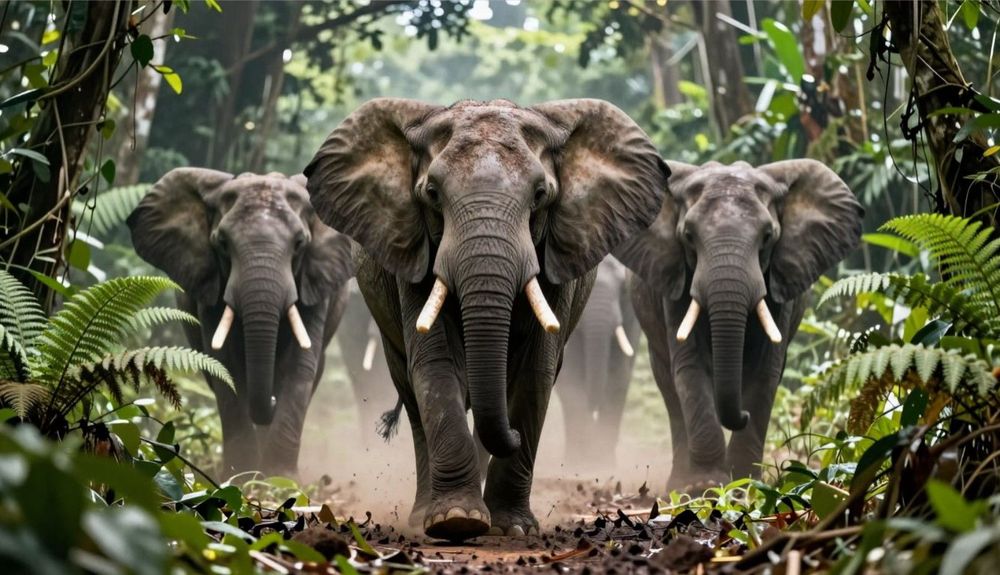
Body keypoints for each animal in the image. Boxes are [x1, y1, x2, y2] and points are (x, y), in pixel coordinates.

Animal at [127, 169, 353, 477]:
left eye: (299, 244)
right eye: (222, 243)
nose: (271, 402)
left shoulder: (316, 280)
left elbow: (300, 365)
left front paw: (280, 479)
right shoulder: (209, 284)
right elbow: (225, 366)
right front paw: (241, 477)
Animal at [552, 254, 640, 471]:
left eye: (623, 289)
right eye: (580, 291)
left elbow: (618, 376)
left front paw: (602, 463)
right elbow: (571, 380)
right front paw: (580, 463)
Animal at [614, 160, 863, 490]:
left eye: (768, 236)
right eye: (688, 236)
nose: (740, 415)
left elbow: (766, 371)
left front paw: (744, 483)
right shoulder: (676, 279)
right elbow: (690, 367)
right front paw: (705, 486)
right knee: (669, 388)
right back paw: (677, 484)